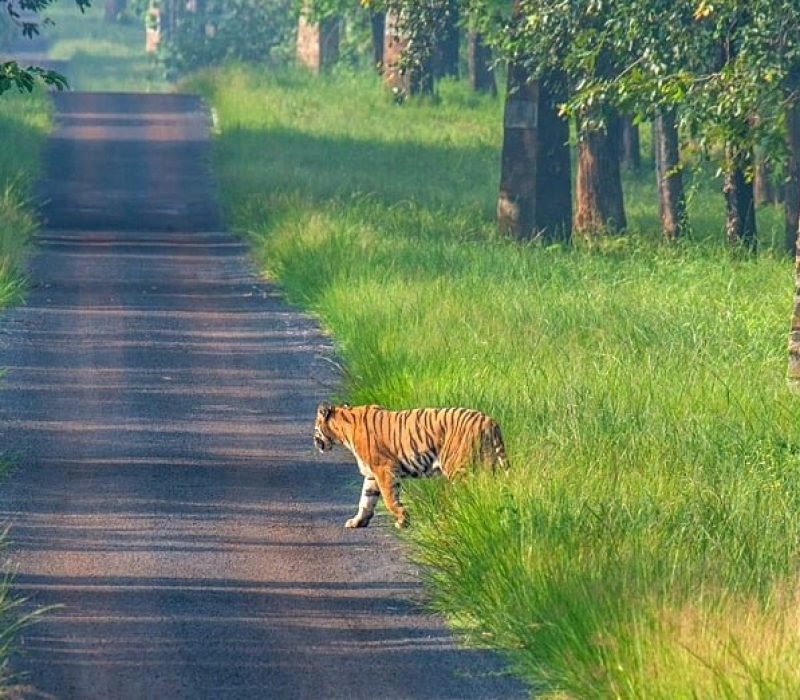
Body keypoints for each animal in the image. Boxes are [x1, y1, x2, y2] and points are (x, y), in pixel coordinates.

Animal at [313, 403, 509, 529]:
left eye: (316, 428)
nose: (315, 442)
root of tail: (489, 421)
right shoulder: (371, 474)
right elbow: (365, 500)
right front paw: (357, 522)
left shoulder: (384, 469)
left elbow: (389, 499)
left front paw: (402, 520)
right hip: (487, 464)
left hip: (459, 467)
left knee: (469, 493)